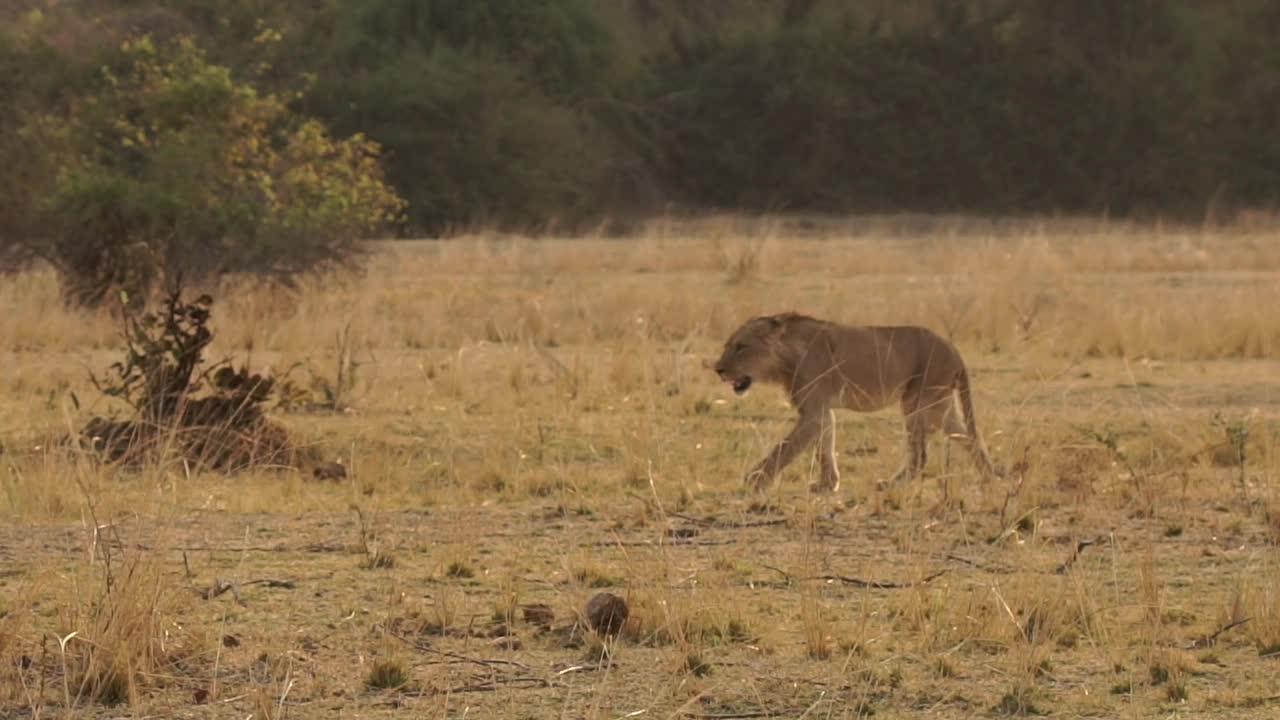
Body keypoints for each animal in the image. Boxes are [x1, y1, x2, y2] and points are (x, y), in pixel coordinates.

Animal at [711, 311, 998, 489]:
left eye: (741, 347)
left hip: (917, 401)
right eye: (728, 346)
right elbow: (825, 446)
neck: (785, 361)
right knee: (969, 437)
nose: (718, 370)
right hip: (940, 405)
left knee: (921, 456)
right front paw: (827, 485)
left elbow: (785, 447)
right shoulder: (821, 410)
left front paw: (756, 479)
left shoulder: (813, 412)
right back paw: (988, 478)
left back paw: (889, 484)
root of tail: (955, 351)